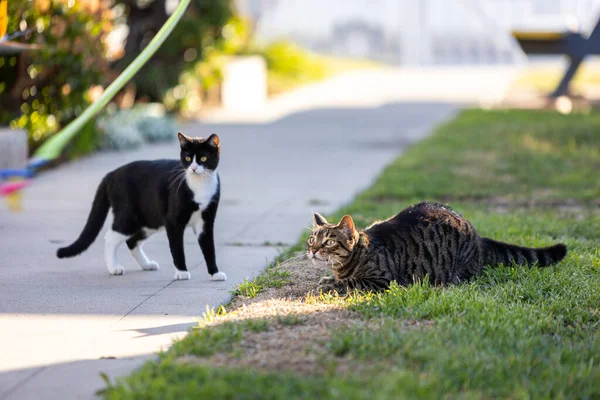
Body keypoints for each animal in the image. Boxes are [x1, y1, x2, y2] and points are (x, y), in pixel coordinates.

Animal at [57, 132, 226, 282]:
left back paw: (147, 265)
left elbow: (209, 248)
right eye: (188, 158)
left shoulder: (206, 221)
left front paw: (215, 273)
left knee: (132, 241)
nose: (193, 168)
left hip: (148, 220)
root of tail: (110, 175)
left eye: (203, 158)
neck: (200, 185)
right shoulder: (173, 222)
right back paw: (114, 267)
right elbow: (177, 249)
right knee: (110, 237)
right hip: (129, 217)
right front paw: (181, 272)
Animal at [310, 202, 568, 292]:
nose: (312, 251)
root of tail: (478, 236)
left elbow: (352, 282)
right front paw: (329, 279)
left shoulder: (382, 280)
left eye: (329, 241)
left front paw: (331, 284)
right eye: (312, 239)